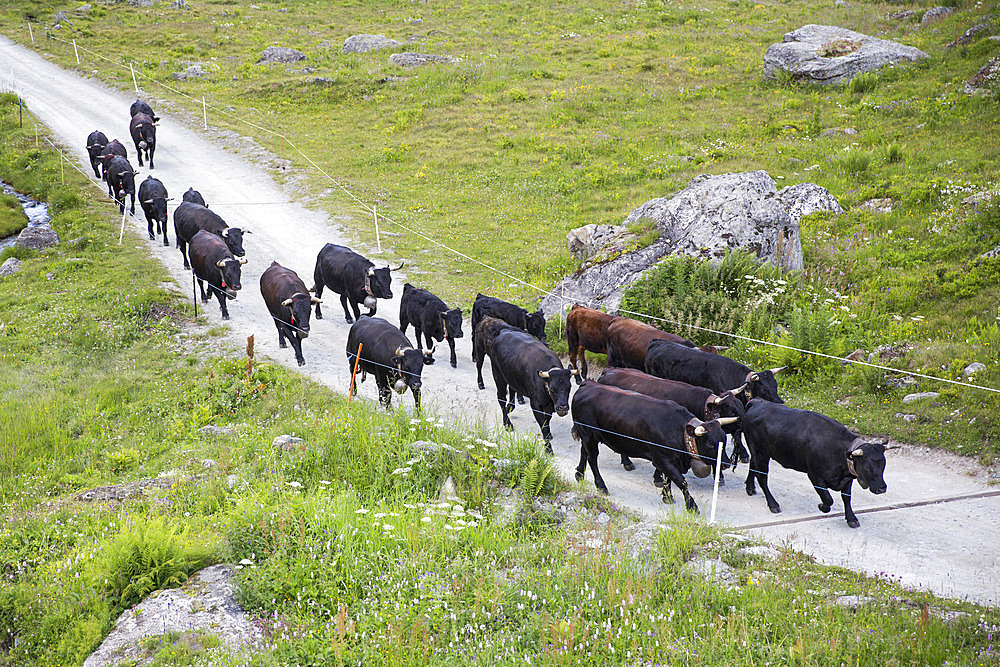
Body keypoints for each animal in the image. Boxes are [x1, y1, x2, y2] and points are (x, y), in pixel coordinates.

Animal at [740, 400, 896, 528]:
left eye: (883, 465)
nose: (882, 488)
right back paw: (773, 504)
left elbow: (846, 498)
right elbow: (828, 499)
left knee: (753, 466)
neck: (836, 448)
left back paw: (750, 487)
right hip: (760, 453)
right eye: (868, 467)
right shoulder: (815, 476)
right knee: (762, 477)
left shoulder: (848, 478)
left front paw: (851, 518)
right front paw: (822, 507)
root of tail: (758, 402)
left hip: (758, 452)